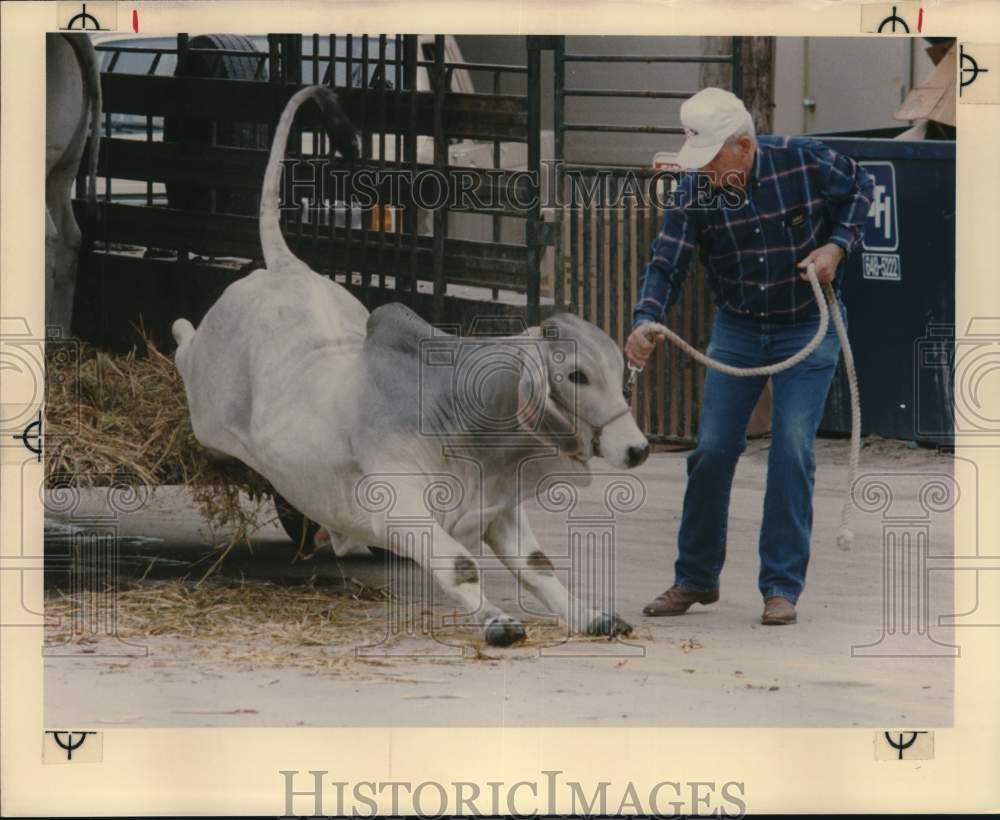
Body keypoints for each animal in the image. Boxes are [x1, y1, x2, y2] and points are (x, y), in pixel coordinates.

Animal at [174, 85, 648, 648]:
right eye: (577, 375)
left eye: (620, 371)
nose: (638, 449)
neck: (467, 427)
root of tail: (285, 266)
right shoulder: (401, 512)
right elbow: (461, 567)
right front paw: (497, 623)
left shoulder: (500, 510)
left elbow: (538, 566)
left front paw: (591, 616)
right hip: (206, 413)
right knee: (182, 342)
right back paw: (180, 330)